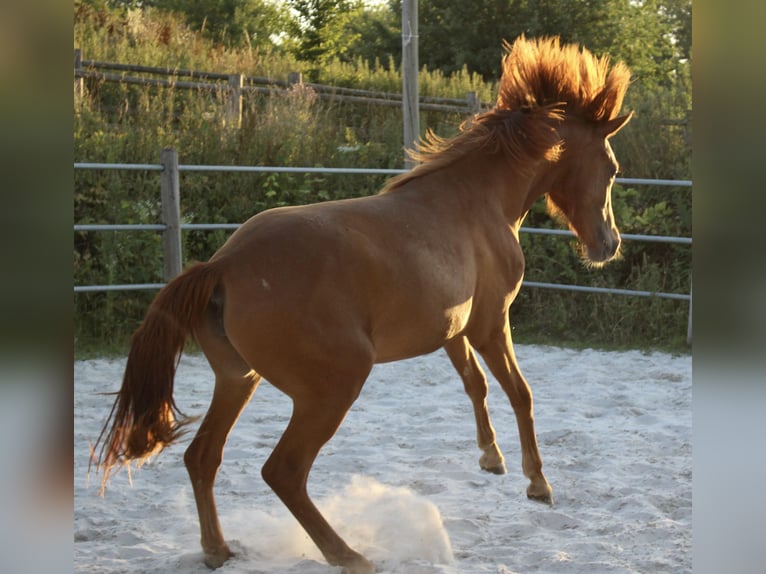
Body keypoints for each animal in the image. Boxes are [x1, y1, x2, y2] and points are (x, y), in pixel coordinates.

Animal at [93, 35, 632, 574]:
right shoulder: (490, 324)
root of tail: (222, 265)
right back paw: (349, 554)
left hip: (238, 379)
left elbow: (474, 385)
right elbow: (521, 393)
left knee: (203, 457)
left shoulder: (453, 331)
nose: (609, 245)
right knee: (283, 471)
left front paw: (490, 458)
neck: (476, 202)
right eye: (612, 169)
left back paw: (219, 550)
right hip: (334, 386)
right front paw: (538, 483)